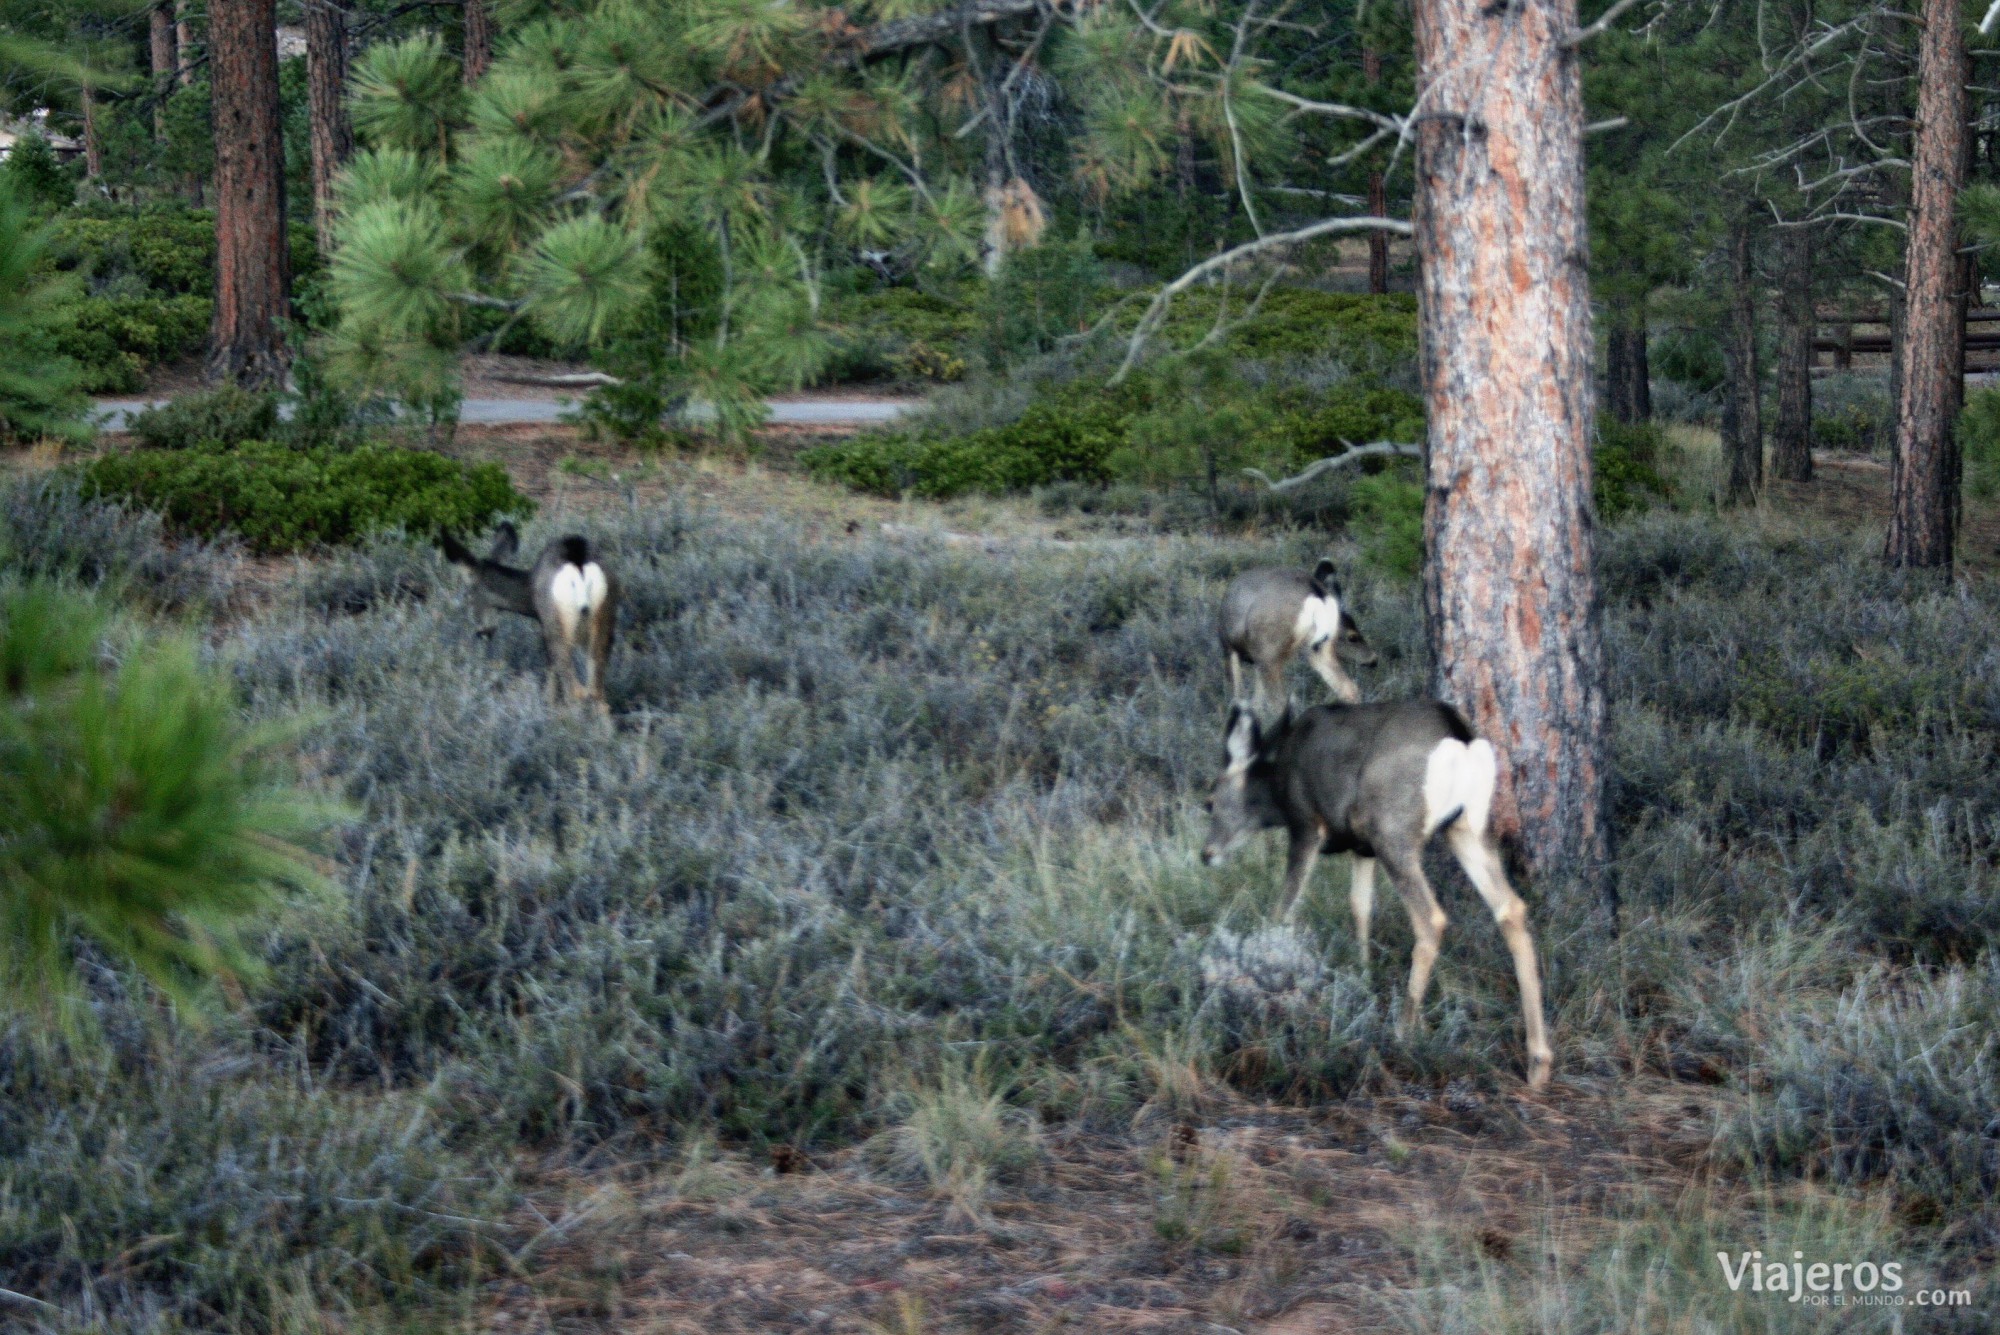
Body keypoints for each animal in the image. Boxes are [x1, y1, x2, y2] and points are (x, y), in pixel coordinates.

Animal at [444, 519, 616, 715]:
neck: (530, 592)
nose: (482, 633)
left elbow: (550, 674)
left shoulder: (544, 625)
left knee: (576, 690)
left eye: (468, 596)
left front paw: (548, 705)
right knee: (598, 695)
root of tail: (579, 567)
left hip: (557, 626)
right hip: (605, 619)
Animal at [1192, 699, 1552, 1087]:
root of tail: (1460, 738)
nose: (1206, 854)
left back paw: (1403, 1032)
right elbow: (1360, 906)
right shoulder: (1362, 848)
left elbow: (1284, 906)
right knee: (1511, 908)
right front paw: (1363, 974)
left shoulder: (1306, 823)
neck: (1278, 783)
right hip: (1467, 826)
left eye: (1209, 801)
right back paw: (1538, 1061)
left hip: (1392, 829)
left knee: (1431, 919)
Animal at [1216, 559, 1376, 715]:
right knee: (1349, 688)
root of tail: (1316, 596)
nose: (1373, 660)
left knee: (1278, 703)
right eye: (1353, 637)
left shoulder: (1231, 649)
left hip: (1268, 652)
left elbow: (1239, 699)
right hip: (1315, 649)